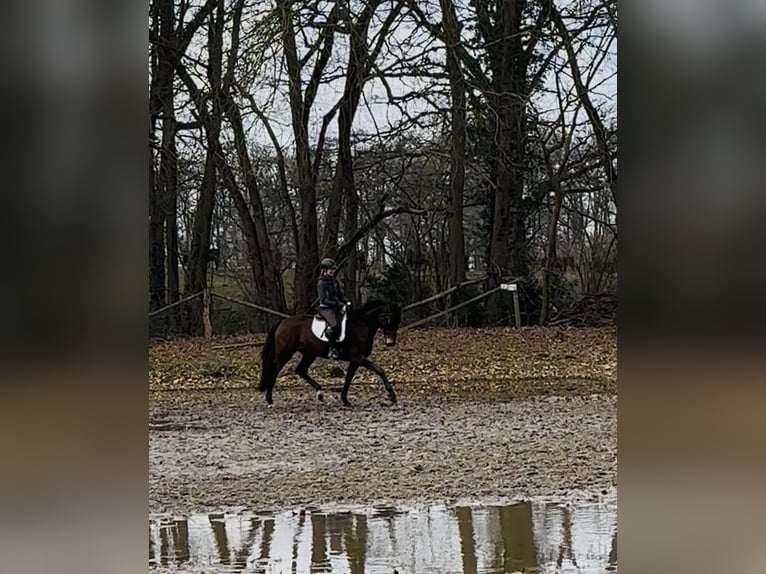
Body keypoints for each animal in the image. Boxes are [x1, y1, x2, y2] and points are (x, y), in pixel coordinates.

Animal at [258, 300, 402, 408]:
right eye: (390, 318)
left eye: (398, 320)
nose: (391, 343)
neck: (361, 325)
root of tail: (282, 322)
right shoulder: (358, 357)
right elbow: (379, 370)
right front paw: (392, 396)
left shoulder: (355, 360)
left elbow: (348, 378)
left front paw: (345, 400)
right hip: (285, 353)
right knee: (274, 372)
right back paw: (269, 400)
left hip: (309, 354)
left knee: (300, 370)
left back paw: (320, 393)